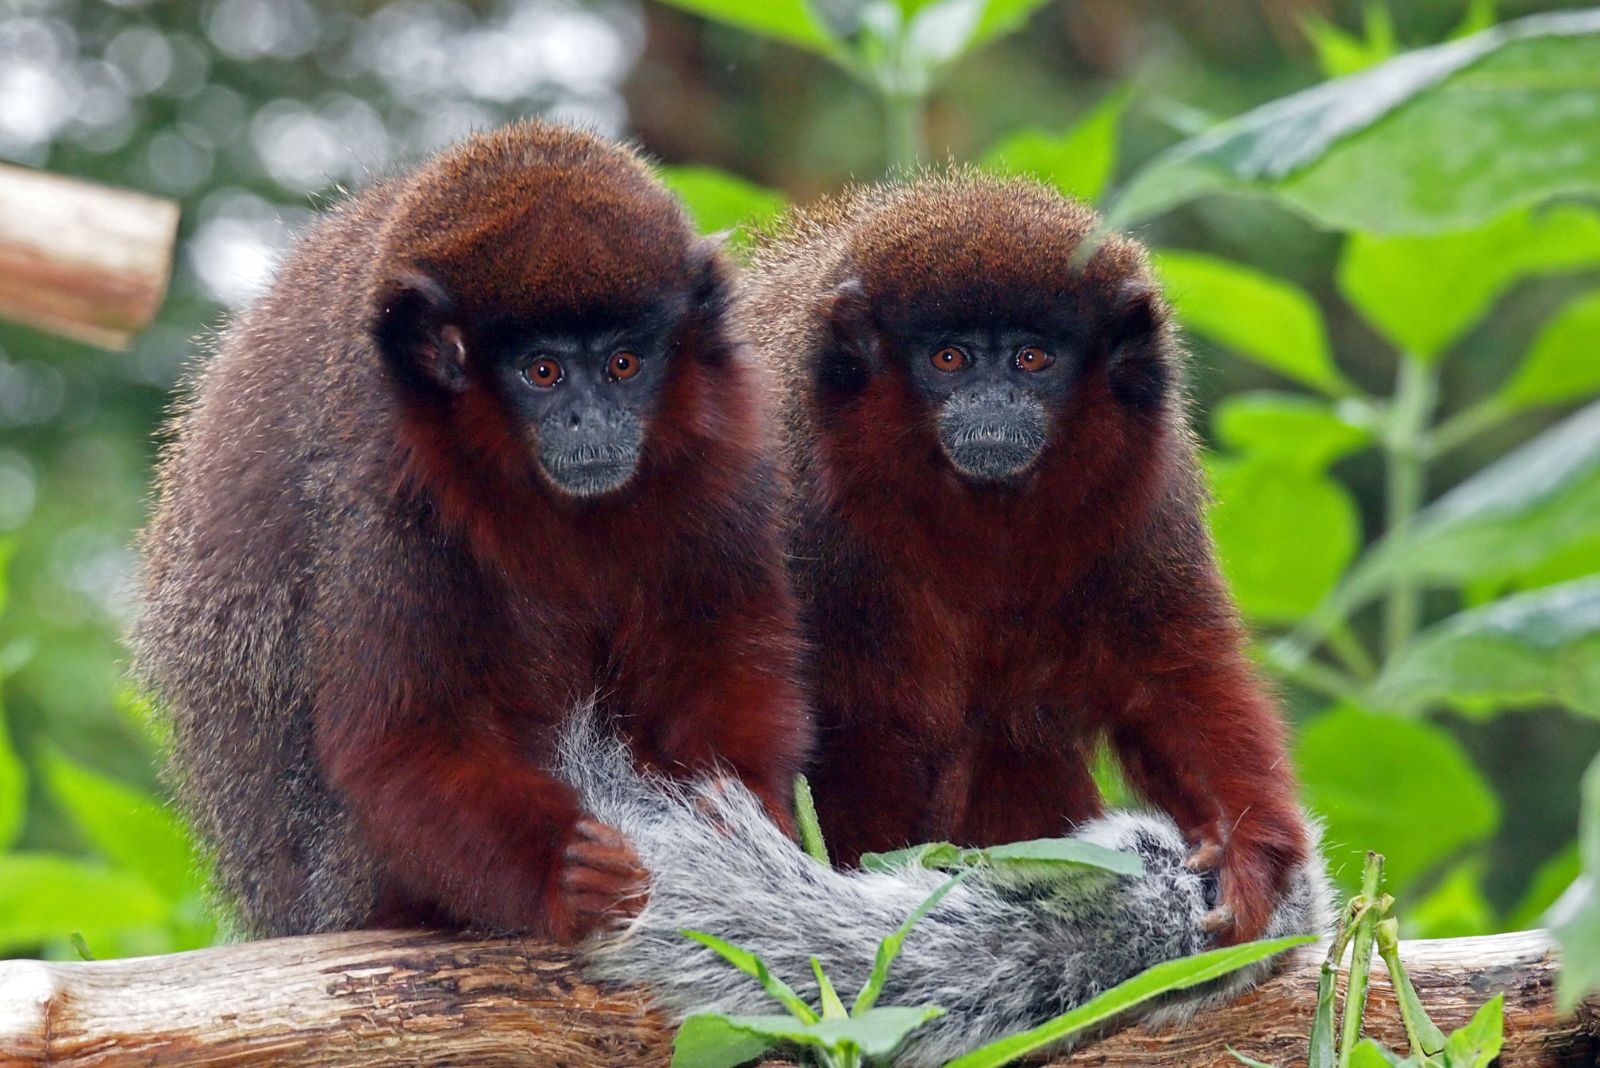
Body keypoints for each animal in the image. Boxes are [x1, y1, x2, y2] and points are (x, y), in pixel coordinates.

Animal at [132, 123, 812, 940]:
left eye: (623, 364)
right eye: (542, 372)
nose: (591, 420)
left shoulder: (724, 440)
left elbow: (724, 655)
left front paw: (741, 824)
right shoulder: (385, 493)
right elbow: (401, 742)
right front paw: (569, 876)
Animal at [742, 175, 1305, 940]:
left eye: (1032, 359)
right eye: (950, 359)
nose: (994, 401)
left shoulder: (1146, 499)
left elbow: (1169, 674)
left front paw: (1247, 851)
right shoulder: (794, 493)